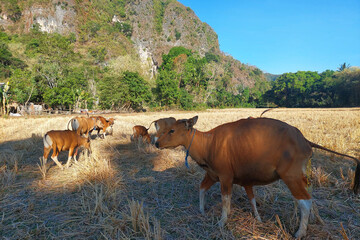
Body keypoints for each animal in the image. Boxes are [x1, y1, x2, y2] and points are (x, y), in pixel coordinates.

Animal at [155, 116, 360, 238]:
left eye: (172, 131)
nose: (156, 143)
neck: (210, 143)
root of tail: (304, 140)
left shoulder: (225, 177)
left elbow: (226, 201)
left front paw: (222, 222)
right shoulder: (215, 175)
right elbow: (205, 189)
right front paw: (202, 211)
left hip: (291, 176)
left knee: (304, 200)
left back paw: (300, 232)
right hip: (303, 175)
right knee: (308, 195)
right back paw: (316, 221)